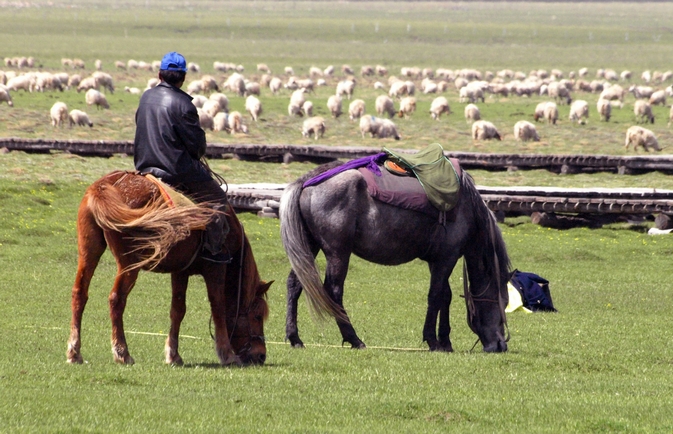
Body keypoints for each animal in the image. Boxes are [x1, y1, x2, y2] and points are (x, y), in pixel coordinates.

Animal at [65, 172, 270, 366]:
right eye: (258, 316)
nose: (261, 355)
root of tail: (107, 184)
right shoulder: (216, 268)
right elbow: (218, 307)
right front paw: (227, 355)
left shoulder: (180, 271)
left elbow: (177, 310)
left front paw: (173, 355)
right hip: (128, 264)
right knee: (116, 299)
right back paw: (122, 353)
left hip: (89, 253)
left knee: (79, 293)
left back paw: (74, 352)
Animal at [278, 161, 510, 350]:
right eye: (504, 303)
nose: (500, 345)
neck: (465, 205)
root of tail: (308, 181)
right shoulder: (447, 258)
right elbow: (435, 296)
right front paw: (433, 340)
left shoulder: (438, 260)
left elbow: (445, 296)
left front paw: (445, 342)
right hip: (338, 253)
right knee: (334, 290)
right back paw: (354, 339)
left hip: (310, 247)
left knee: (295, 284)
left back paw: (295, 338)